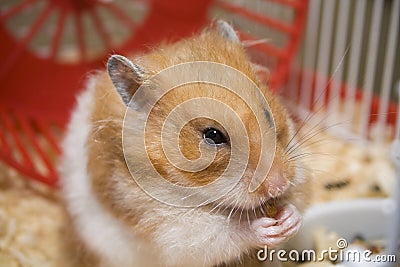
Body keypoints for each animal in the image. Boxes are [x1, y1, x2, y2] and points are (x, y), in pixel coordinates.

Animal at [58, 21, 310, 267]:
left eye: (267, 113)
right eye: (213, 135)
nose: (280, 185)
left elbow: (297, 200)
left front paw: (290, 218)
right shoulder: (166, 226)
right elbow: (220, 233)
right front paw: (262, 228)